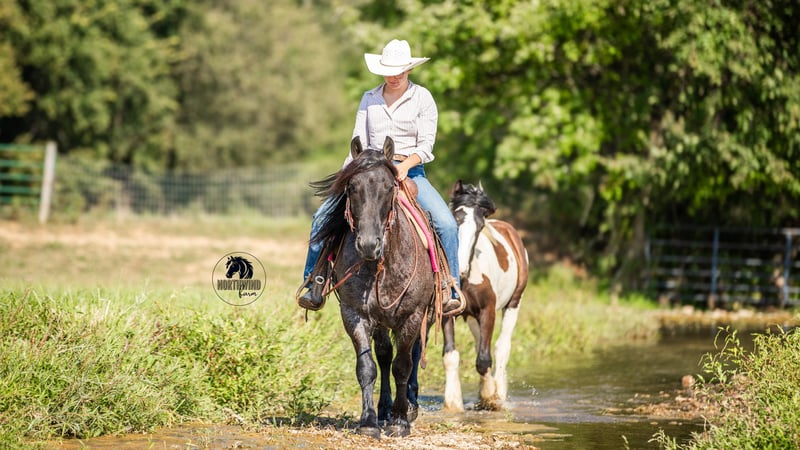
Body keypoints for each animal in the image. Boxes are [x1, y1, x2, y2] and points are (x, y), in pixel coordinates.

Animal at [310, 136, 436, 438]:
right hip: (381, 320)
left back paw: (408, 407)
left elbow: (403, 366)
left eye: (389, 187)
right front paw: (368, 421)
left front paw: (400, 421)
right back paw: (383, 409)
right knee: (384, 355)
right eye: (351, 187)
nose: (368, 245)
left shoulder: (412, 315)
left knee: (412, 355)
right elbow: (368, 366)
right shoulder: (355, 314)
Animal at [442, 180, 529, 411]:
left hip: (514, 303)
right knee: (481, 344)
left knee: (501, 348)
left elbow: (483, 360)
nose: (461, 270)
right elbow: (451, 356)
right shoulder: (448, 311)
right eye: (455, 219)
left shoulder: (488, 310)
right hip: (472, 316)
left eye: (480, 227)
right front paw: (453, 404)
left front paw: (490, 396)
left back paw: (499, 393)